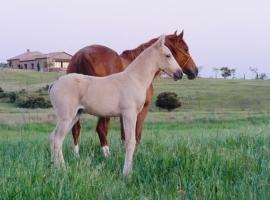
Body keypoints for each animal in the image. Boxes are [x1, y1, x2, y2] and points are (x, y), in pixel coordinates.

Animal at [49, 35, 184, 175]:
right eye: (168, 55)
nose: (179, 73)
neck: (135, 79)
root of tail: (54, 84)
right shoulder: (129, 114)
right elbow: (130, 141)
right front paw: (127, 173)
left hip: (75, 115)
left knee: (55, 137)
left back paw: (57, 167)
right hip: (66, 117)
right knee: (57, 139)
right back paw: (60, 169)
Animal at [67, 30, 198, 157]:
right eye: (186, 49)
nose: (195, 71)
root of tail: (82, 56)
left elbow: (125, 135)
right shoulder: (141, 110)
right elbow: (136, 134)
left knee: (76, 129)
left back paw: (76, 156)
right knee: (101, 129)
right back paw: (107, 156)